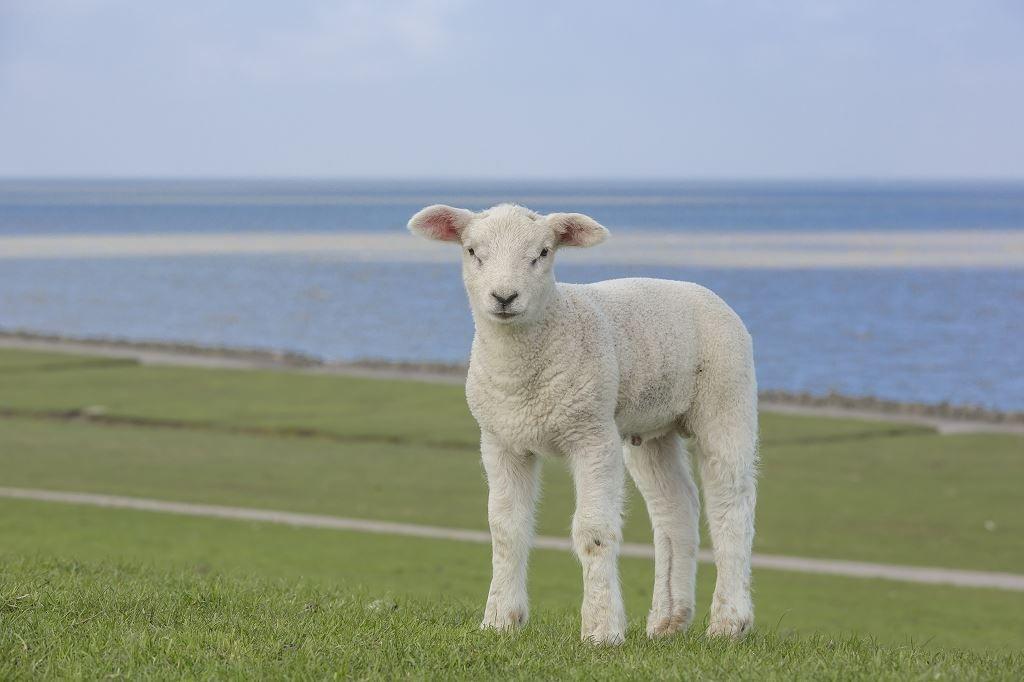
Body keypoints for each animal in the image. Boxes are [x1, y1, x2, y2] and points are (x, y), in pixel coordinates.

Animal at [407, 203, 759, 645]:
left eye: (542, 252)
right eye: (472, 251)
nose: (504, 297)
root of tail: (700, 291)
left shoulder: (592, 435)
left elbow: (592, 532)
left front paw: (601, 629)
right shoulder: (501, 440)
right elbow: (506, 529)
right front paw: (500, 620)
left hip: (727, 396)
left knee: (732, 504)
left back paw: (729, 621)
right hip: (652, 428)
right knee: (676, 507)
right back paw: (667, 621)